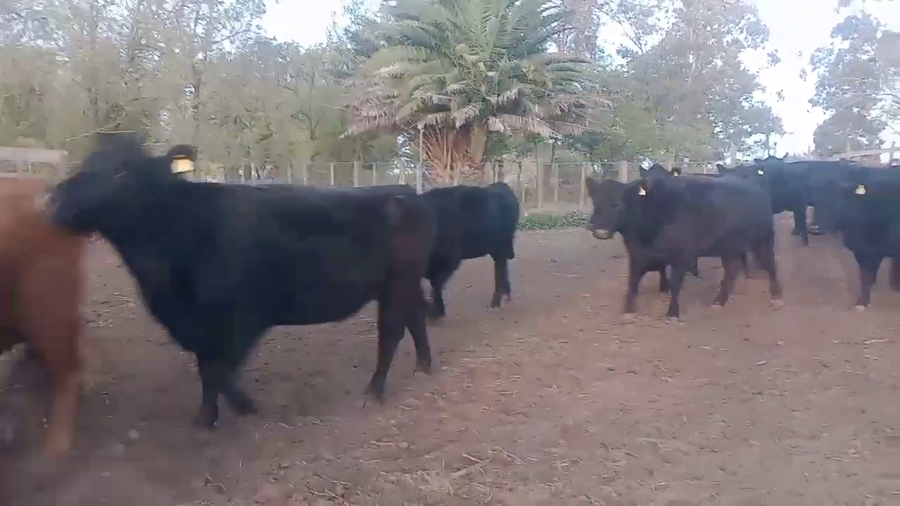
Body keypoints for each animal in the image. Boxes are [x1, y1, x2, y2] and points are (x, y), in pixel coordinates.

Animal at [44, 135, 436, 429]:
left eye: (123, 174)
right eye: (85, 163)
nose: (54, 199)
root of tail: (402, 192)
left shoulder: (245, 318)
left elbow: (220, 370)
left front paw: (243, 406)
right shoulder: (199, 324)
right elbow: (207, 368)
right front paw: (206, 417)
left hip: (397, 282)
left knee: (391, 332)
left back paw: (374, 391)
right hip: (403, 283)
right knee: (416, 317)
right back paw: (424, 367)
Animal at [421, 182, 519, 318]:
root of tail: (502, 185)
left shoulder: (452, 260)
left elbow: (437, 283)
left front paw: (436, 312)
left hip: (501, 246)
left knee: (500, 270)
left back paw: (495, 304)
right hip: (495, 249)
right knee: (503, 268)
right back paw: (505, 294)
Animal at [585, 174, 783, 320]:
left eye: (618, 204)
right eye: (595, 202)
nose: (600, 231)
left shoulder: (682, 256)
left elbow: (675, 284)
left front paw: (672, 313)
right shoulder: (636, 254)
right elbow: (632, 281)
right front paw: (628, 310)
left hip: (764, 238)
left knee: (771, 265)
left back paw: (776, 297)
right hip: (729, 247)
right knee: (731, 270)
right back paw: (719, 301)